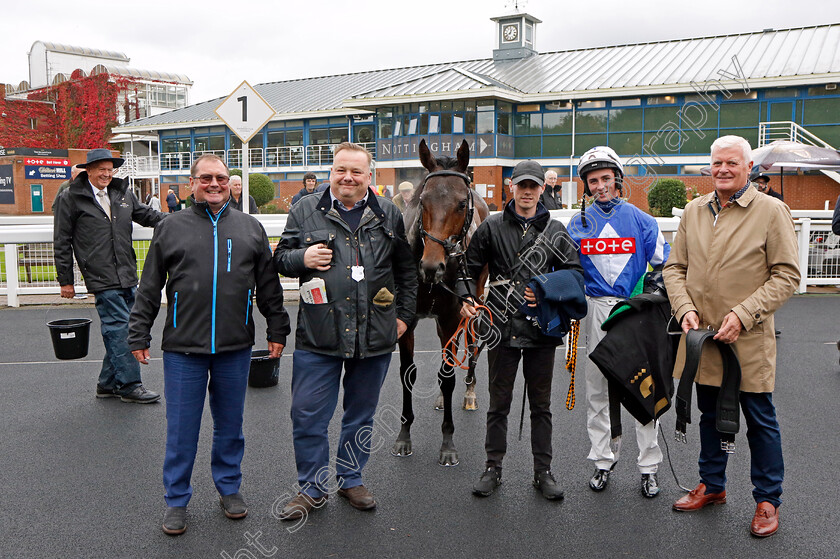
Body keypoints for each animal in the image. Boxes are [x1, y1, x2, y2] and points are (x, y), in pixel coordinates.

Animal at [394, 140, 492, 468]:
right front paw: (404, 436)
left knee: (471, 343)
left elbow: (448, 375)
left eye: (461, 204)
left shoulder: (452, 314)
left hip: (474, 299)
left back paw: (470, 391)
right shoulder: (408, 320)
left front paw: (447, 444)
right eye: (422, 201)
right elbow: (407, 374)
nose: (431, 266)